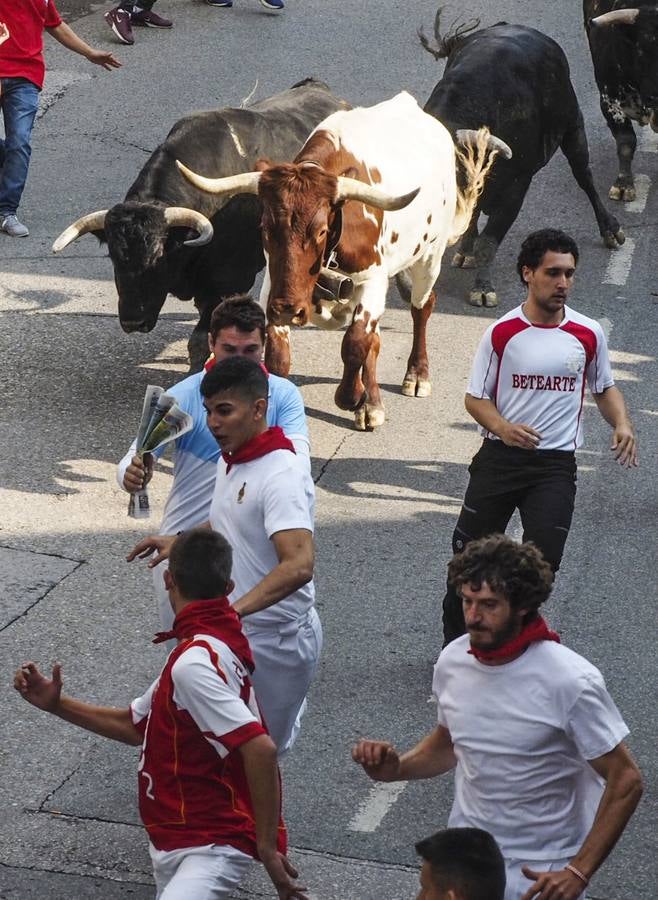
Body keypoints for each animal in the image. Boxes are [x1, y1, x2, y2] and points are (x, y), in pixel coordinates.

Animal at [177, 93, 504, 430]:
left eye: (321, 230)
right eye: (265, 227)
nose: (289, 309)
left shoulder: (373, 279)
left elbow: (356, 341)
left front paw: (351, 396)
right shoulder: (274, 284)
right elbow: (281, 353)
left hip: (429, 257)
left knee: (421, 307)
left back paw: (415, 375)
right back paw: (373, 403)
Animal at [418, 14, 624, 306]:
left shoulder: (516, 187)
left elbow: (488, 242)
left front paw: (483, 289)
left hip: (574, 127)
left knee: (584, 176)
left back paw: (610, 230)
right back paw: (465, 249)